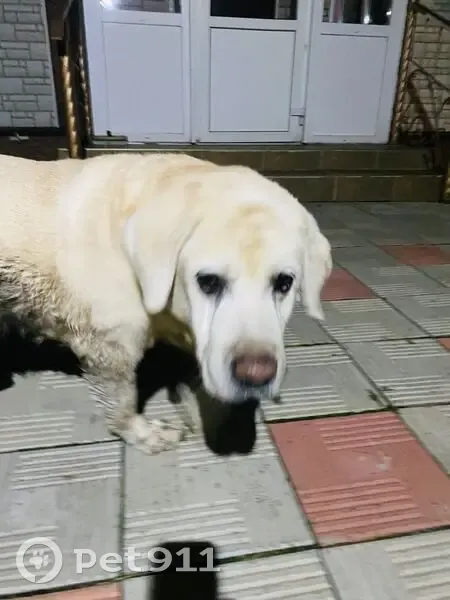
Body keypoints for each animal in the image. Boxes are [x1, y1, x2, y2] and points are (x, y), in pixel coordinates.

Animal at [0, 152, 331, 454]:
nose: (255, 375)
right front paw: (142, 434)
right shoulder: (111, 348)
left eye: (284, 283)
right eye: (208, 281)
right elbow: (123, 403)